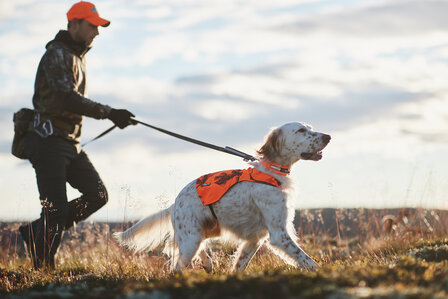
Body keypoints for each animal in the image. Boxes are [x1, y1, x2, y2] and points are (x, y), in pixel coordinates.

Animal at [114, 123, 330, 274]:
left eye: (310, 127)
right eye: (301, 130)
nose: (328, 136)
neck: (271, 172)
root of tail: (174, 204)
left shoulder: (254, 238)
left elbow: (239, 265)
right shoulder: (279, 233)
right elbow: (305, 259)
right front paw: (321, 272)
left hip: (202, 232)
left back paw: (208, 263)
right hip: (190, 240)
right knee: (176, 266)